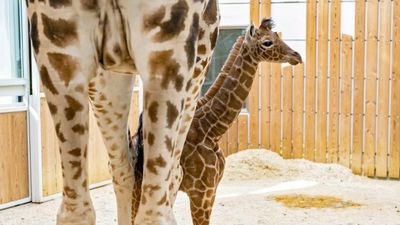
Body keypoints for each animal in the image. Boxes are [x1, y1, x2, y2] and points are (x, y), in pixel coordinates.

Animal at [25, 0, 219, 225]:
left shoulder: (168, 47)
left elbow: (154, 213)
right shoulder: (57, 48)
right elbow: (76, 211)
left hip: (196, 71)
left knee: (172, 175)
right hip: (106, 82)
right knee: (123, 171)